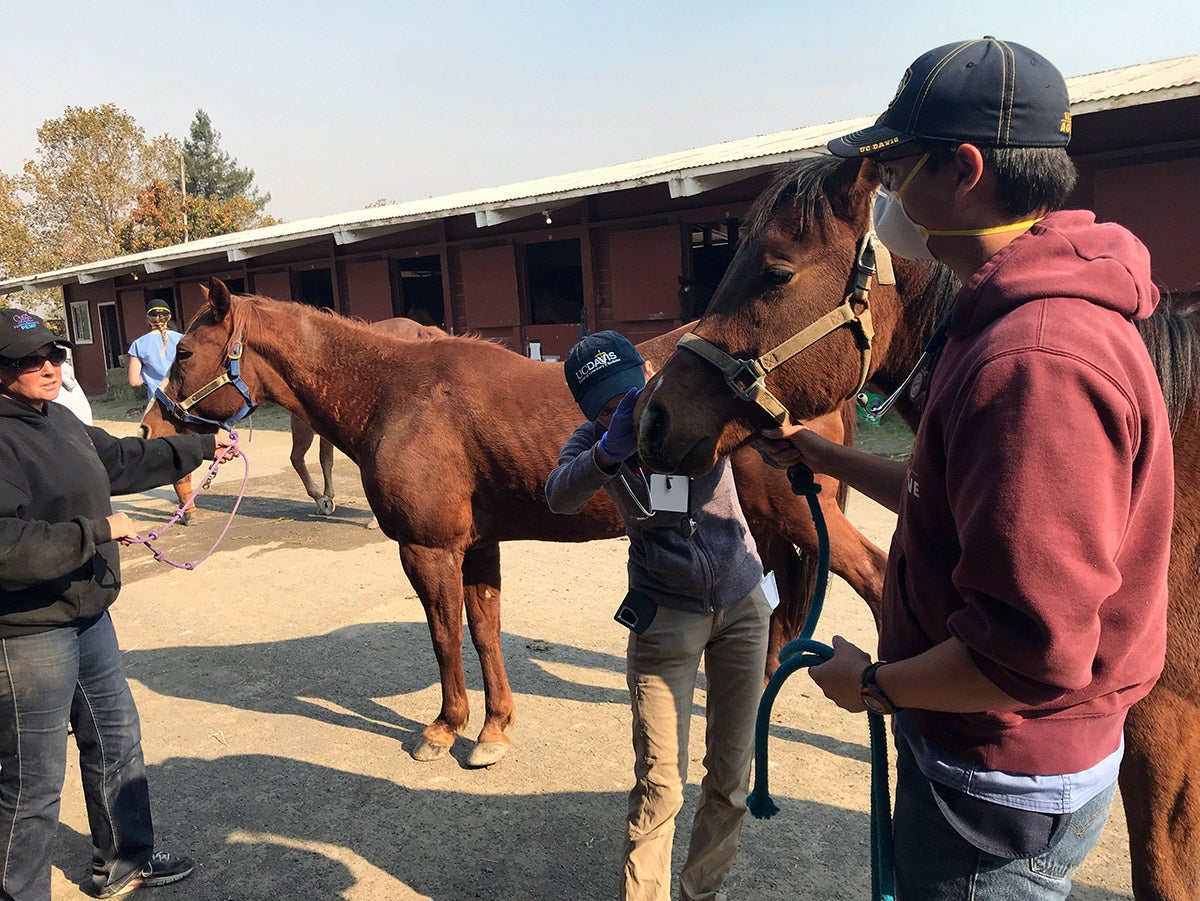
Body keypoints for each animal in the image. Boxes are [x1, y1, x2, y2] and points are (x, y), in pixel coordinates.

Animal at [142, 280, 892, 767]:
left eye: (184, 353)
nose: (153, 424)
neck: (396, 392)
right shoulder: (477, 547)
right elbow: (484, 631)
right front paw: (494, 728)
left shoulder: (428, 549)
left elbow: (446, 637)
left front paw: (445, 728)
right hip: (768, 523)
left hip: (801, 516)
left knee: (876, 580)